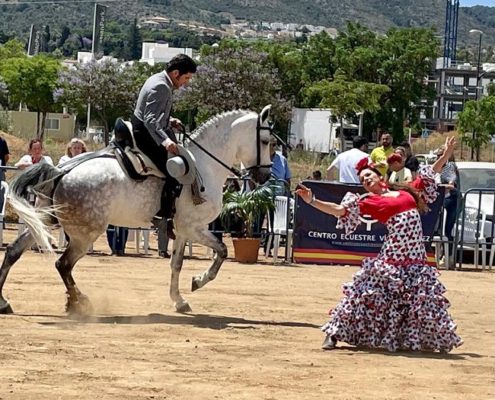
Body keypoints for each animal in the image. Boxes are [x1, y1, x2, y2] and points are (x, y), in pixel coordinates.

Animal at [0, 108, 276, 314]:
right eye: (266, 142)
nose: (264, 175)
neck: (203, 165)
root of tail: (61, 170)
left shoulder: (182, 231)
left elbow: (176, 263)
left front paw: (179, 300)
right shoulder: (194, 227)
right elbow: (222, 251)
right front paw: (198, 281)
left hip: (45, 220)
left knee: (14, 251)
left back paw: (5, 301)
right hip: (84, 234)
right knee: (63, 264)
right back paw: (79, 302)